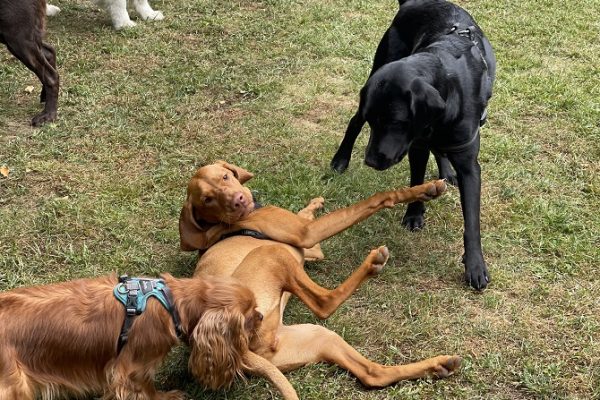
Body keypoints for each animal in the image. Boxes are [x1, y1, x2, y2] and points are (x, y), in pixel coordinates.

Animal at [178, 161, 460, 398]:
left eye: (225, 177)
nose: (239, 201)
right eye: (208, 199)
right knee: (325, 302)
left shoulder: (311, 248)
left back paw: (438, 365)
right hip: (272, 253)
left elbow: (307, 213)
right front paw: (421, 190)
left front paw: (314, 203)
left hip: (317, 338)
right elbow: (375, 199)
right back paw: (372, 264)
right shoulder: (307, 234)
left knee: (373, 375)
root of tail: (237, 344)